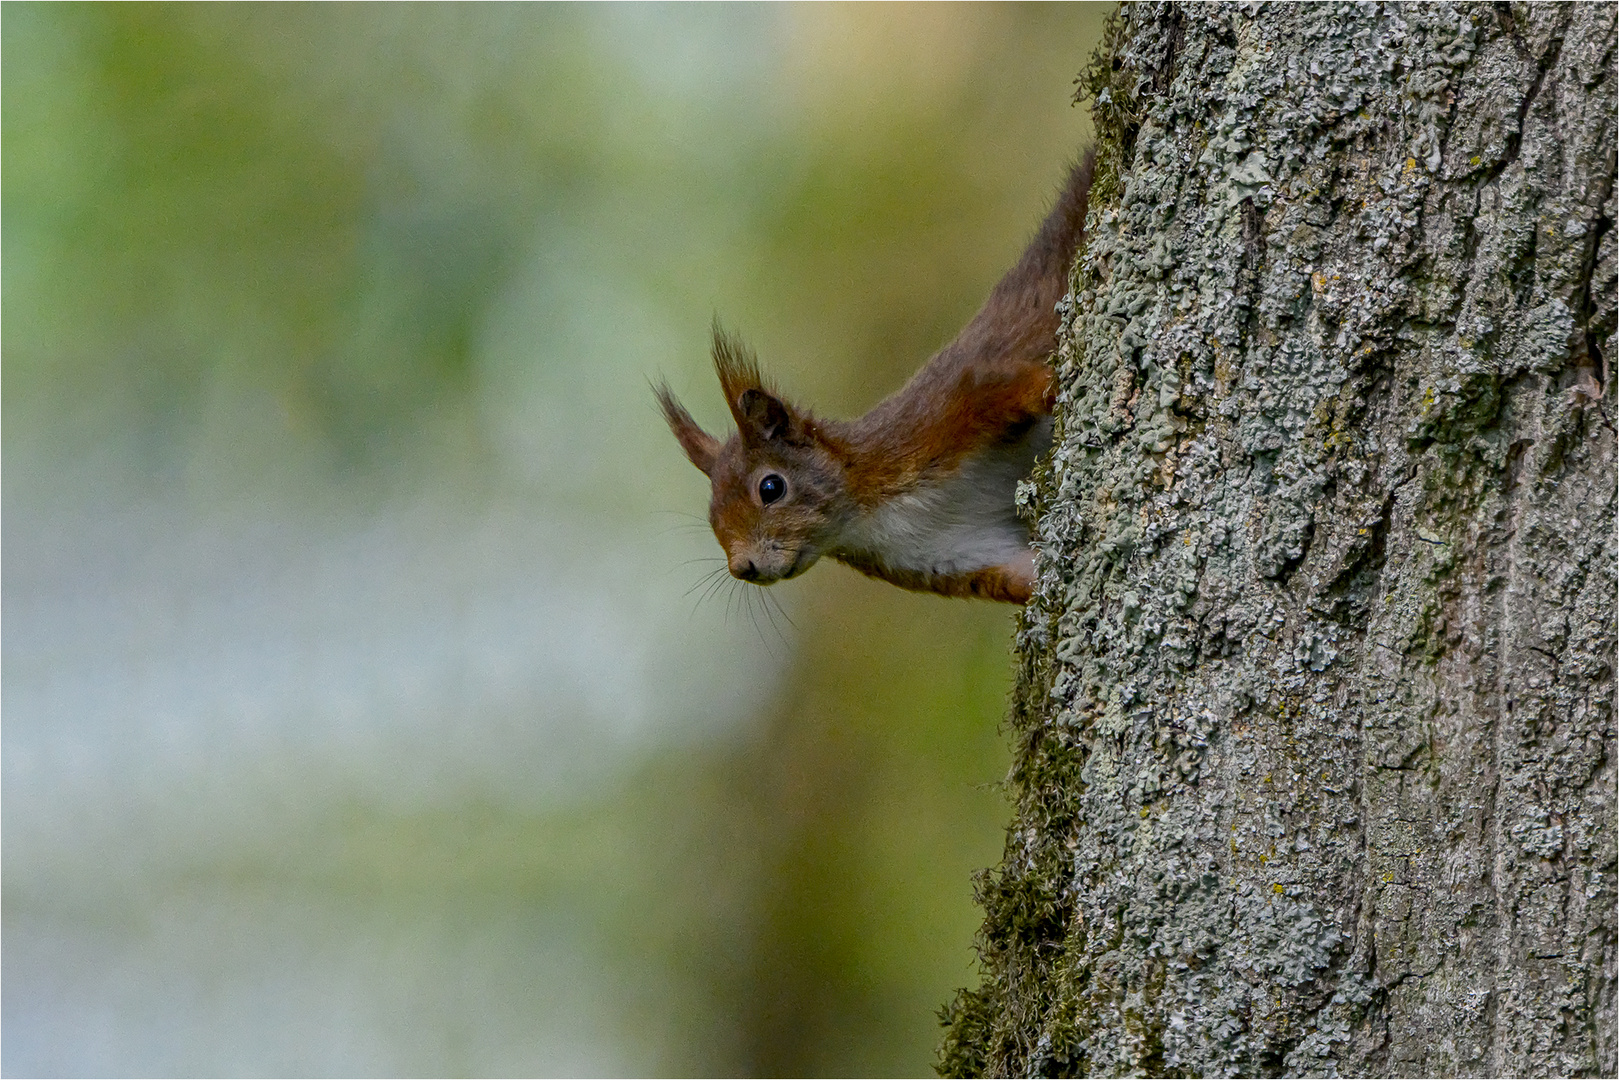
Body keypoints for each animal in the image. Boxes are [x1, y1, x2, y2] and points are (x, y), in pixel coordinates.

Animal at [650, 149, 1094, 608]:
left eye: (771, 488)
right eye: (711, 514)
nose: (744, 569)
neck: (866, 515)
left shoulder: (943, 415)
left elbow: (1013, 386)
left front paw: (1059, 387)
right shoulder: (948, 553)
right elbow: (1020, 575)